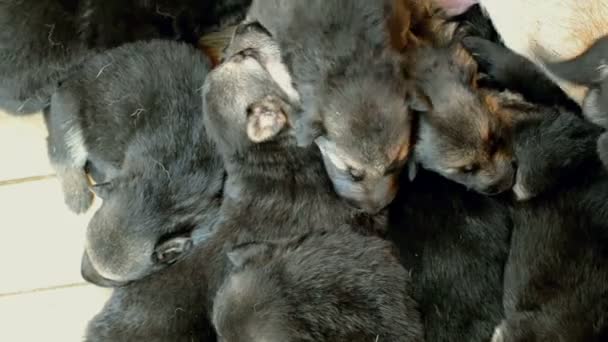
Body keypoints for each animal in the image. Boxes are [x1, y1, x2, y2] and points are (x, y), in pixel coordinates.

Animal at [45, 39, 224, 286]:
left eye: (116, 282)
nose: (82, 274)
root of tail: (71, 76)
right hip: (70, 112)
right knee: (62, 153)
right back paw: (77, 193)